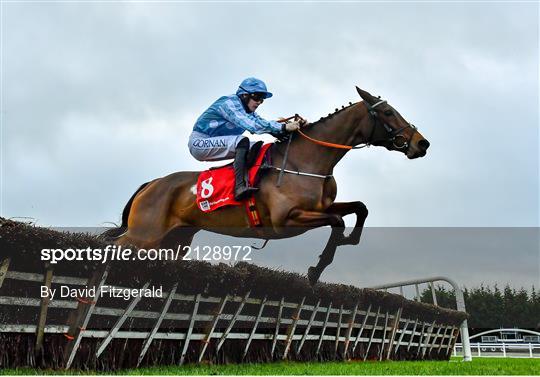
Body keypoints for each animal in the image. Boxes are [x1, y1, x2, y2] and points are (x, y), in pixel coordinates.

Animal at [104, 86, 430, 284]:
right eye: (387, 112)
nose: (422, 143)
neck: (305, 161)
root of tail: (152, 184)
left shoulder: (323, 206)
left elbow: (359, 209)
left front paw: (347, 242)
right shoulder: (286, 219)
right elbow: (337, 222)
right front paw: (316, 270)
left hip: (173, 242)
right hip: (144, 235)